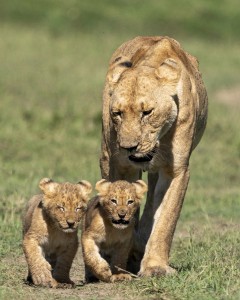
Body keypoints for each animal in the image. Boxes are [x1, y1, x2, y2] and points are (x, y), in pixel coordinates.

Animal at [100, 36, 208, 278]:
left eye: (147, 112)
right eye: (117, 113)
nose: (128, 147)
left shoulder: (176, 170)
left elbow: (166, 219)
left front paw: (155, 267)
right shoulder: (122, 165)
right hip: (106, 155)